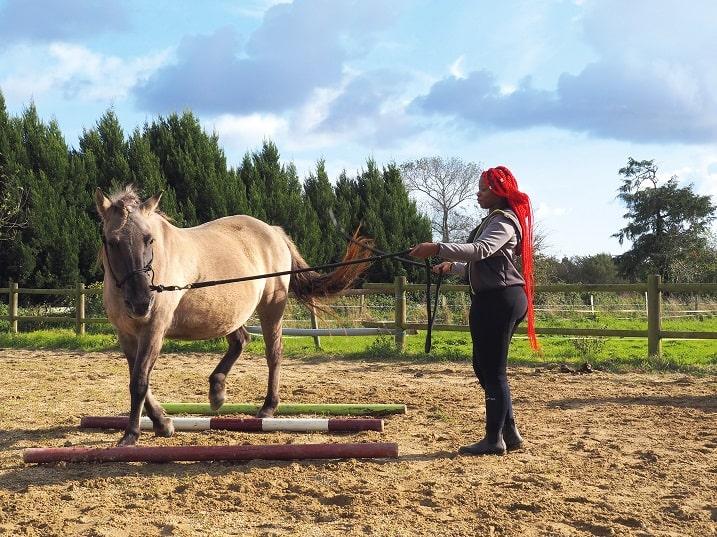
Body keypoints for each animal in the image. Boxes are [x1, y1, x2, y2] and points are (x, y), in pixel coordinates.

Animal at [94, 184, 372, 444]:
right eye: (111, 241)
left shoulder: (154, 330)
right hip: (229, 314)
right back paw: (217, 391)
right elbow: (138, 378)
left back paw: (268, 407)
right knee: (241, 340)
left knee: (273, 353)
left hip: (271, 307)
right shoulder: (126, 335)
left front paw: (131, 434)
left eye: (149, 239)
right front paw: (162, 423)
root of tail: (274, 232)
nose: (141, 303)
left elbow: (140, 381)